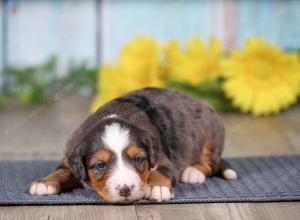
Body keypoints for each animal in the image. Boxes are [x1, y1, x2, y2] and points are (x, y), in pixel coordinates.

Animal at [29, 87, 237, 203]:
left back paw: (193, 172)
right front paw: (44, 183)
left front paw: (158, 188)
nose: (125, 190)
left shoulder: (163, 158)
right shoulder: (71, 155)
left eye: (138, 159)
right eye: (100, 165)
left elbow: (161, 172)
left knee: (210, 163)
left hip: (211, 133)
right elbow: (62, 170)